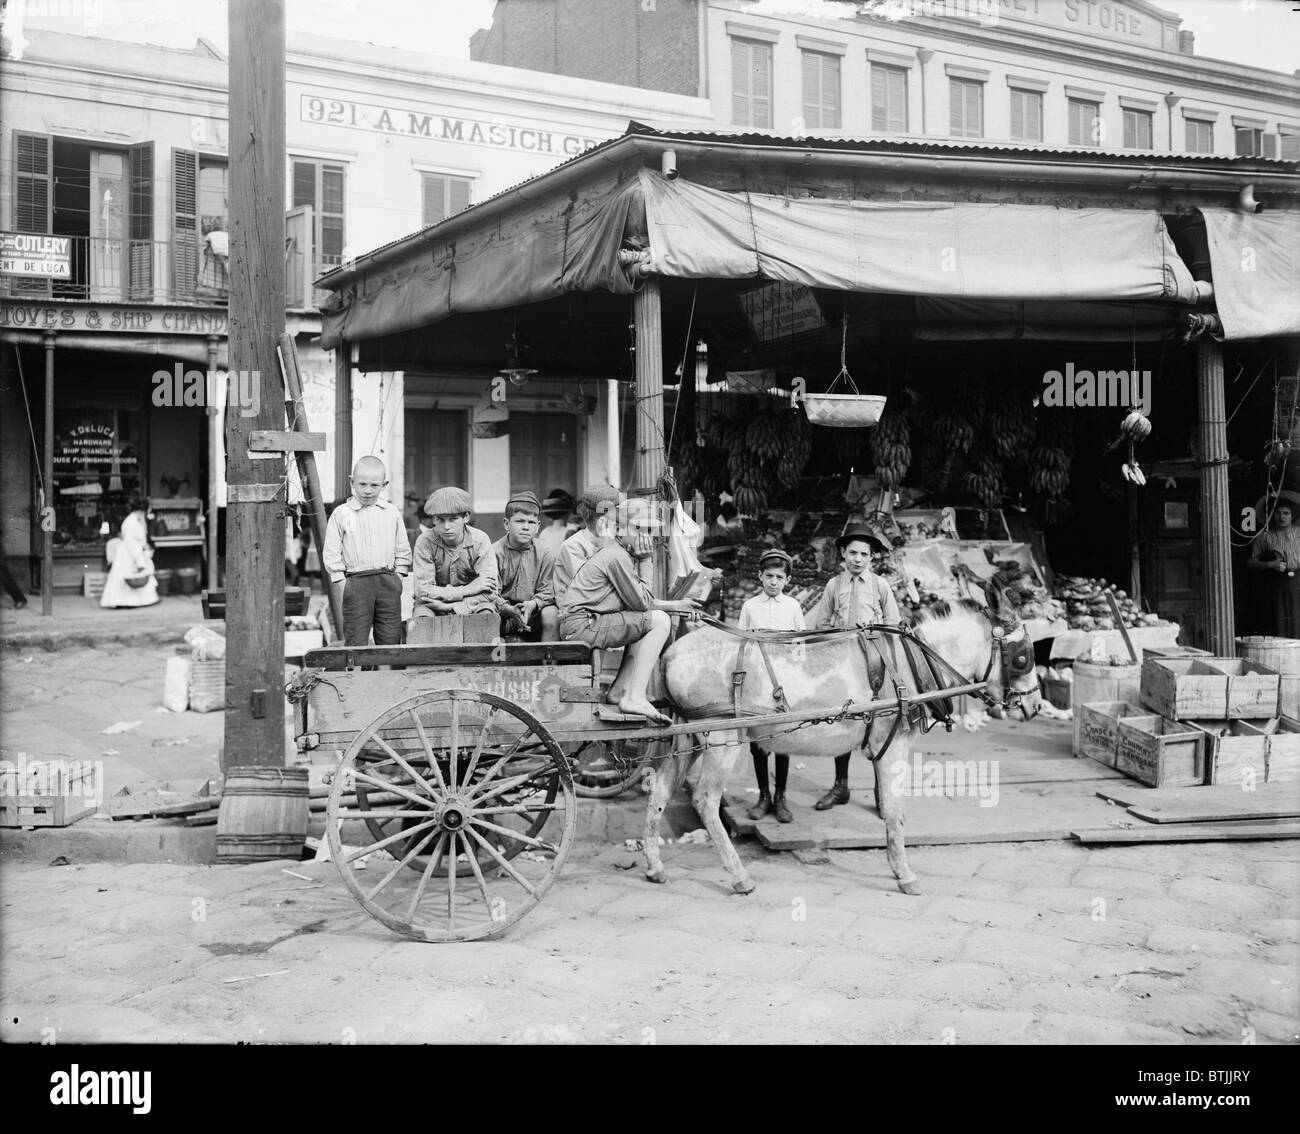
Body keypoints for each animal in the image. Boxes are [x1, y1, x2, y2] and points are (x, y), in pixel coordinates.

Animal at [644, 593, 1040, 894]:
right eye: (1022, 657)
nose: (1035, 705)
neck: (911, 662)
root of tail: (671, 653)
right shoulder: (894, 746)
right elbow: (894, 812)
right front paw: (904, 874)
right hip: (722, 738)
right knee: (705, 799)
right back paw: (739, 876)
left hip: (687, 733)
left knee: (660, 790)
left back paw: (654, 867)